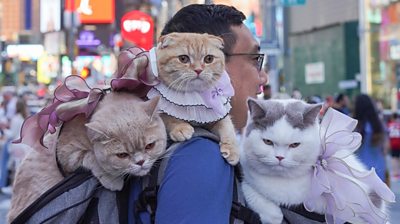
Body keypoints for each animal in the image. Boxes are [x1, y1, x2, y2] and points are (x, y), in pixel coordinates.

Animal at [7, 92, 167, 222]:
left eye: (150, 146)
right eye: (122, 155)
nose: (141, 162)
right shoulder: (67, 154)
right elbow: (91, 157)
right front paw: (112, 179)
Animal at [148, 32, 239, 164]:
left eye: (209, 59)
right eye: (183, 59)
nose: (198, 70)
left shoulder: (217, 115)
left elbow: (227, 127)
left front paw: (232, 149)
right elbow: (168, 117)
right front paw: (181, 127)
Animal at [241, 99, 394, 224]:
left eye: (294, 145)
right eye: (267, 142)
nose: (279, 157)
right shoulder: (249, 174)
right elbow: (248, 188)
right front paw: (273, 215)